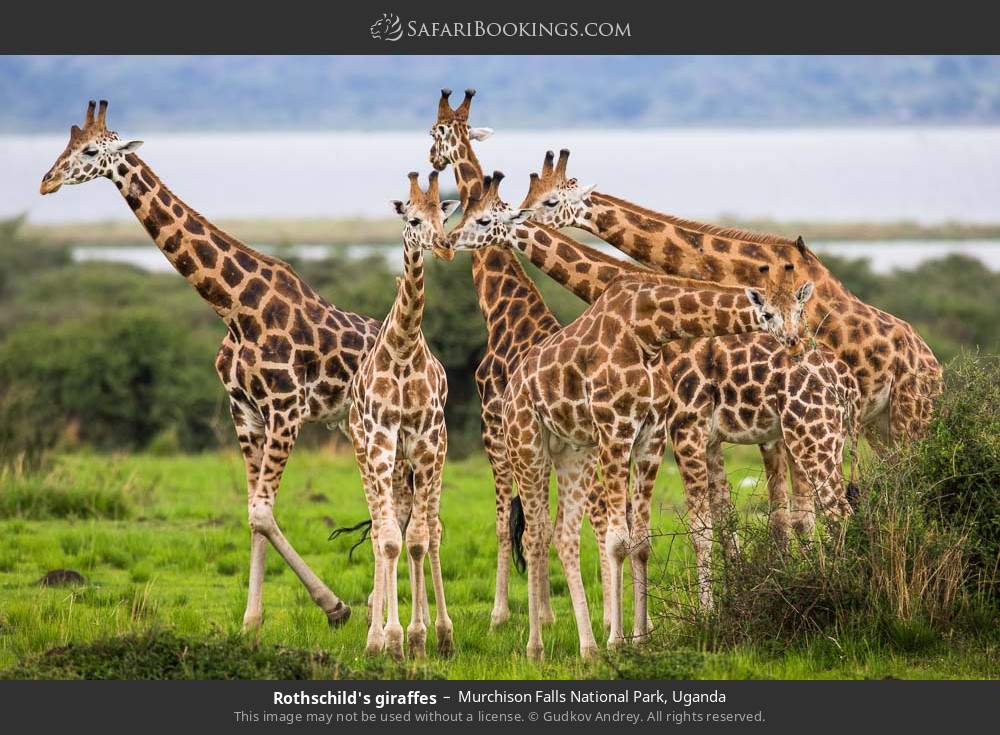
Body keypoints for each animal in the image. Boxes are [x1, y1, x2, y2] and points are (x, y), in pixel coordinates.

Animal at [40, 100, 381, 630]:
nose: (46, 182)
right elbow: (256, 514)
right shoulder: (246, 413)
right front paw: (251, 623)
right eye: (65, 144)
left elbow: (260, 512)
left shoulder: (286, 409)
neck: (235, 310)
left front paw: (334, 607)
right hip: (355, 426)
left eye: (92, 151)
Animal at [449, 170, 854, 616]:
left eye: (486, 218)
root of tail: (842, 377)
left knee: (836, 510)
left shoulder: (683, 429)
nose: (450, 239)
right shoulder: (704, 437)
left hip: (810, 436)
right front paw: (732, 597)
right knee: (818, 510)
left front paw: (706, 611)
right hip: (813, 438)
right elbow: (722, 519)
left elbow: (698, 525)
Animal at [519, 148, 939, 540]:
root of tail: (934, 365)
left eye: (550, 201)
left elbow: (790, 515)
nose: (519, 217)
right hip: (876, 427)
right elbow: (769, 515)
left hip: (909, 417)